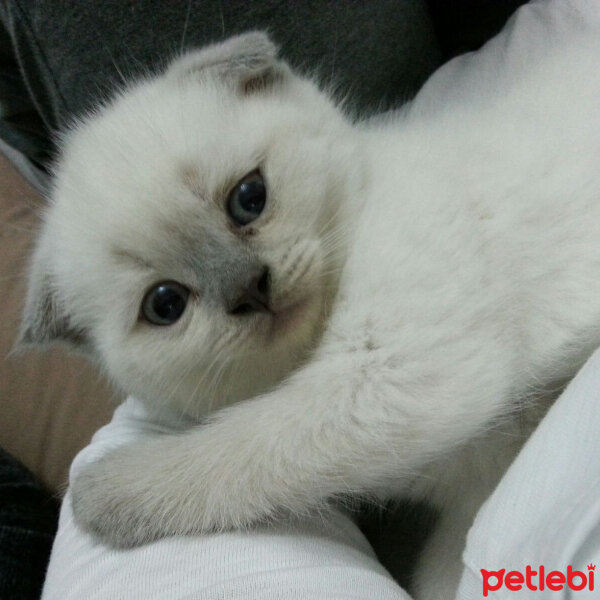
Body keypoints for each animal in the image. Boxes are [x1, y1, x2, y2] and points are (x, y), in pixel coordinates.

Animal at [18, 32, 600, 600]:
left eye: (249, 198)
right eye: (165, 305)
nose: (251, 288)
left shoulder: (391, 373)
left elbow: (242, 444)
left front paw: (100, 493)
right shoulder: (474, 485)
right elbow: (445, 572)